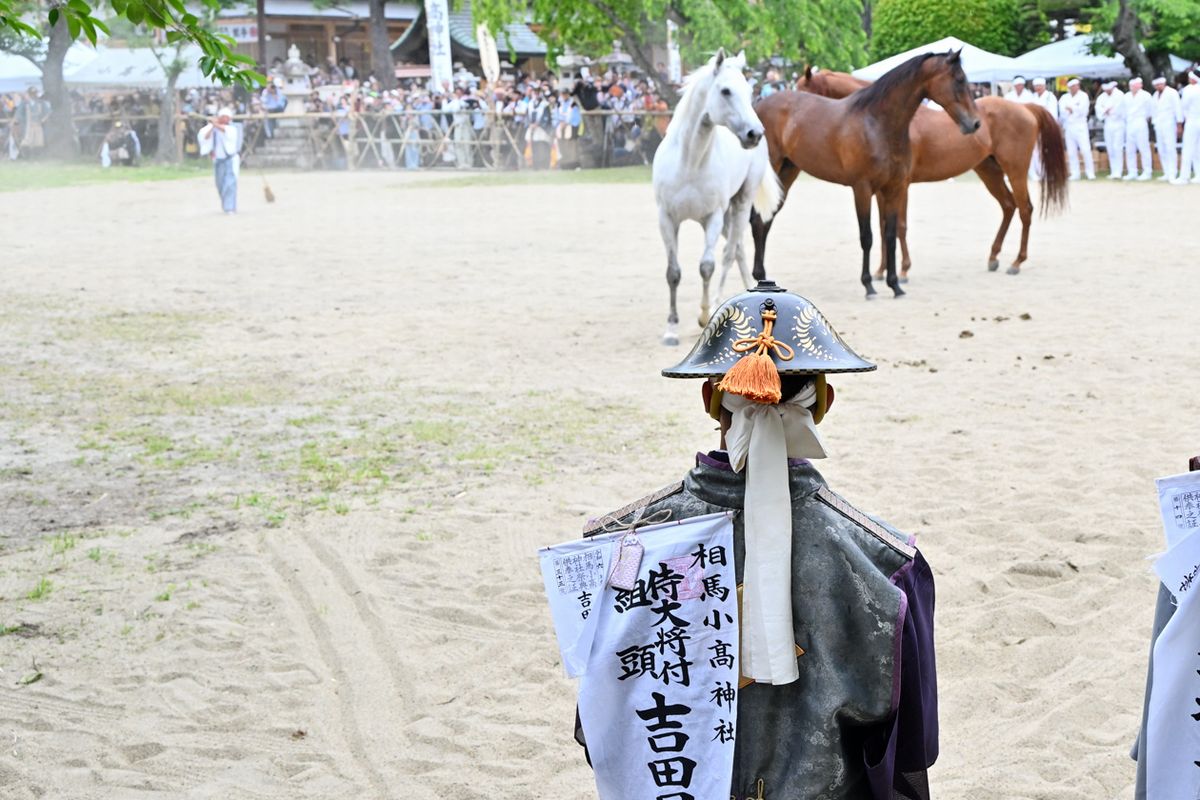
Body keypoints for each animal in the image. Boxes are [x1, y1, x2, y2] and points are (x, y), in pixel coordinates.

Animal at [652, 48, 782, 345]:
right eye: (725, 90)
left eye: (749, 90)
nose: (754, 133)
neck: (689, 163)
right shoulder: (667, 219)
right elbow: (673, 273)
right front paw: (671, 329)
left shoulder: (712, 217)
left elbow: (707, 266)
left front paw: (704, 315)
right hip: (727, 216)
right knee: (739, 250)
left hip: (740, 204)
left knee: (729, 252)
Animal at [753, 50, 979, 299]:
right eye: (959, 80)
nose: (975, 123)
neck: (877, 123)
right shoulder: (862, 189)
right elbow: (868, 236)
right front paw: (869, 285)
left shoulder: (894, 188)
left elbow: (890, 234)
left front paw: (895, 285)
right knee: (755, 219)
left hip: (787, 172)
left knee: (765, 219)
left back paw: (761, 276)